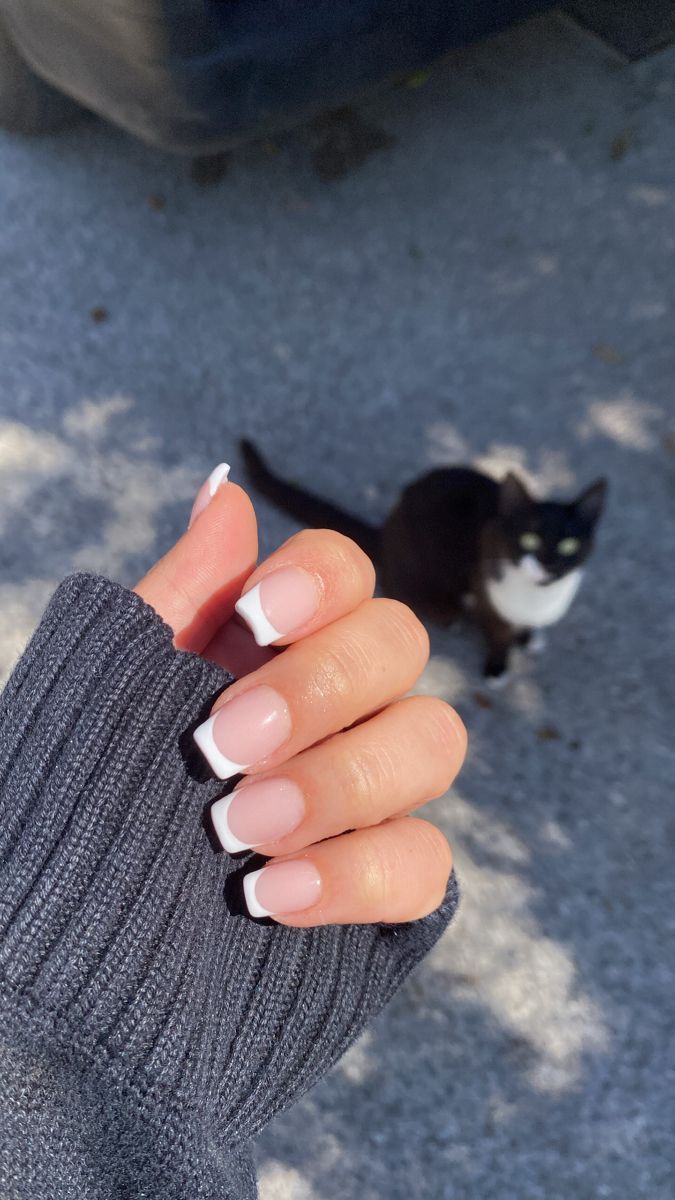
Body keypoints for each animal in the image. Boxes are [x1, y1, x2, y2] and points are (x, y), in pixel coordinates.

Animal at [240, 439, 605, 686]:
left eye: (570, 544)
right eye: (530, 539)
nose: (550, 564)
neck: (538, 596)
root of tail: (387, 530)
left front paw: (529, 638)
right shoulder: (486, 589)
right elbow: (497, 630)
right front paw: (498, 665)